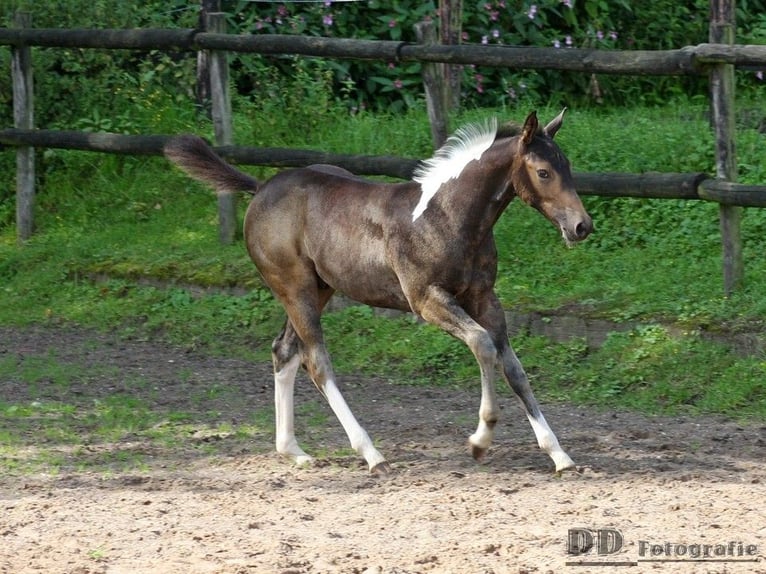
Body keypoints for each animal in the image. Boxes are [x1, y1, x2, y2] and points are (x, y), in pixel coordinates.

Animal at [164, 110, 592, 474]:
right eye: (543, 172)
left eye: (568, 167)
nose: (581, 226)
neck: (447, 216)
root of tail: (261, 187)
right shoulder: (426, 299)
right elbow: (483, 344)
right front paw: (480, 440)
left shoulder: (485, 297)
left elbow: (514, 367)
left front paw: (559, 455)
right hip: (294, 287)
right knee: (316, 360)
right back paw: (371, 453)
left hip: (320, 288)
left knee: (284, 350)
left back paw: (294, 451)